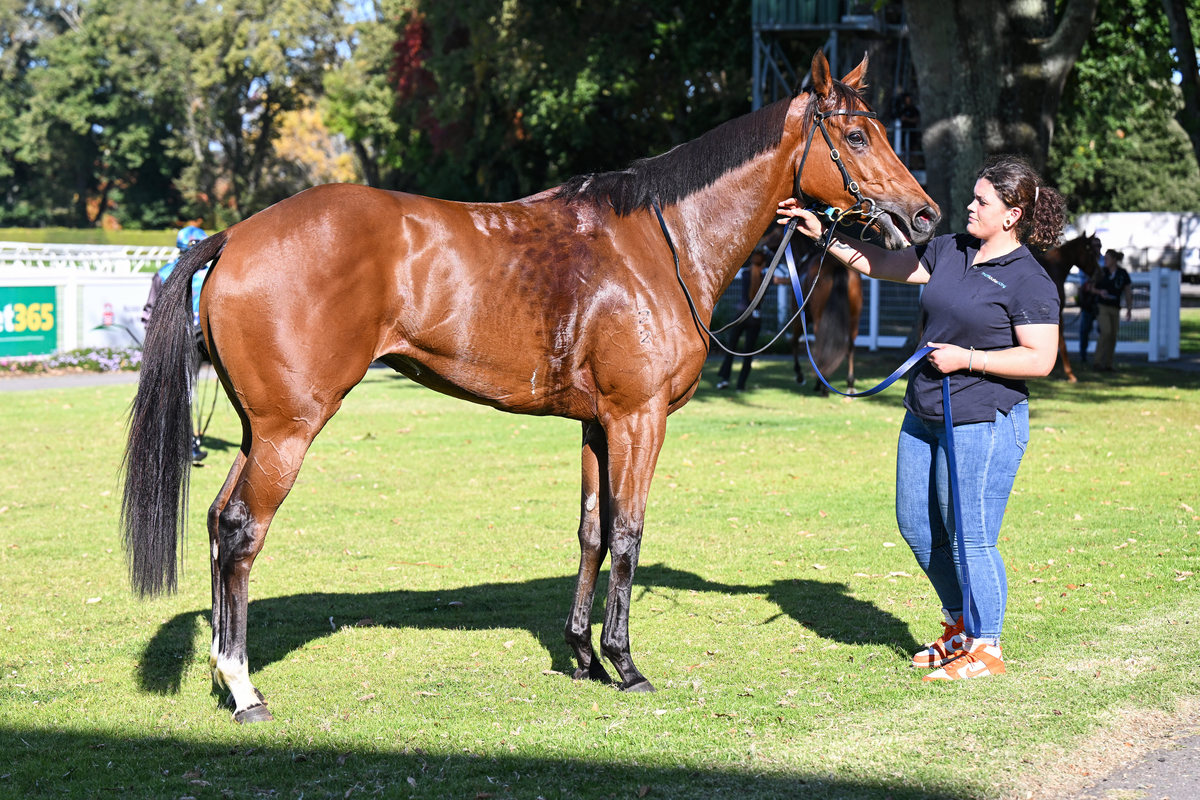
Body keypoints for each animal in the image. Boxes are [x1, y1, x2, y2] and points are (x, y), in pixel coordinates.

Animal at [786, 237, 864, 395]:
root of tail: (836, 265)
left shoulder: (798, 318)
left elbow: (794, 342)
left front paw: (799, 375)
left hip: (816, 320)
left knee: (818, 344)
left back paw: (822, 384)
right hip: (854, 318)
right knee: (850, 346)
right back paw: (849, 383)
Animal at [1036, 232, 1102, 382]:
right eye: (1092, 252)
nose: (1099, 273)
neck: (1055, 268)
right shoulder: (1057, 314)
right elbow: (1062, 344)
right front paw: (1070, 374)